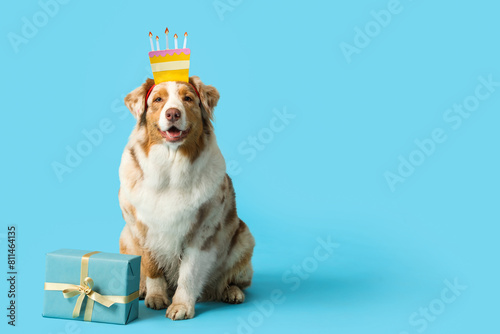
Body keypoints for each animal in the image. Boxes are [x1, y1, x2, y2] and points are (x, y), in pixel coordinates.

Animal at [119, 76, 256, 320]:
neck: (171, 169)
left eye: (188, 98)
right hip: (125, 237)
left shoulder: (202, 232)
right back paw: (142, 289)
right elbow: (152, 266)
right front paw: (156, 296)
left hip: (244, 238)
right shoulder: (142, 227)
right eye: (158, 100)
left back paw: (231, 292)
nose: (172, 113)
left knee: (231, 280)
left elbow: (189, 273)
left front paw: (181, 305)